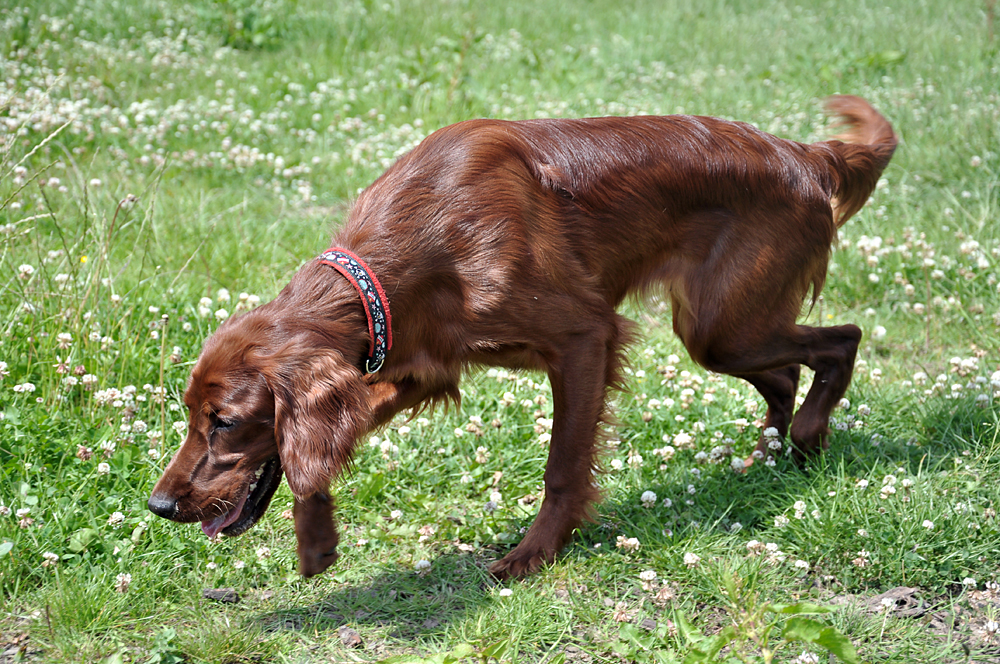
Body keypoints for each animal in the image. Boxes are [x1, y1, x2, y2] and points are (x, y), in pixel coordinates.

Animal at [148, 96, 900, 580]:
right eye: (190, 416)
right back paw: (764, 456)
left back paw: (807, 440)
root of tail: (807, 154)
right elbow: (334, 438)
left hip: (725, 324)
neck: (421, 242)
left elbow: (563, 466)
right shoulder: (421, 362)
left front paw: (535, 554)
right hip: (721, 331)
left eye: (226, 422)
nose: (159, 505)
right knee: (786, 371)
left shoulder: (583, 338)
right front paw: (317, 536)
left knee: (842, 339)